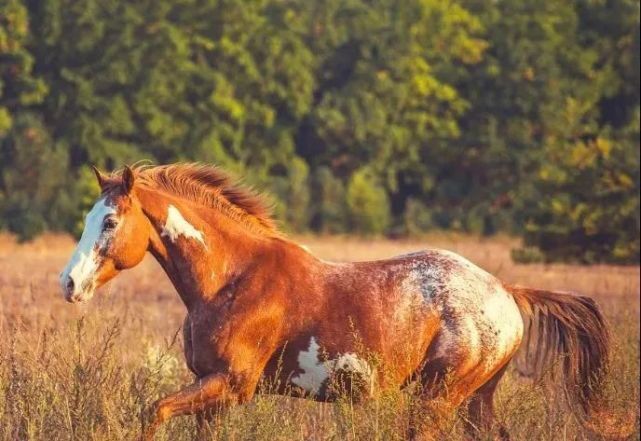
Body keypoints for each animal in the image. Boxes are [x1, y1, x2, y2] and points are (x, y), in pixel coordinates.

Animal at [57, 163, 608, 438]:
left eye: (109, 221)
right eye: (86, 218)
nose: (68, 283)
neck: (231, 279)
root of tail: (508, 294)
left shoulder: (230, 385)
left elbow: (154, 412)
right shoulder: (211, 392)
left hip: (437, 399)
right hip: (476, 399)